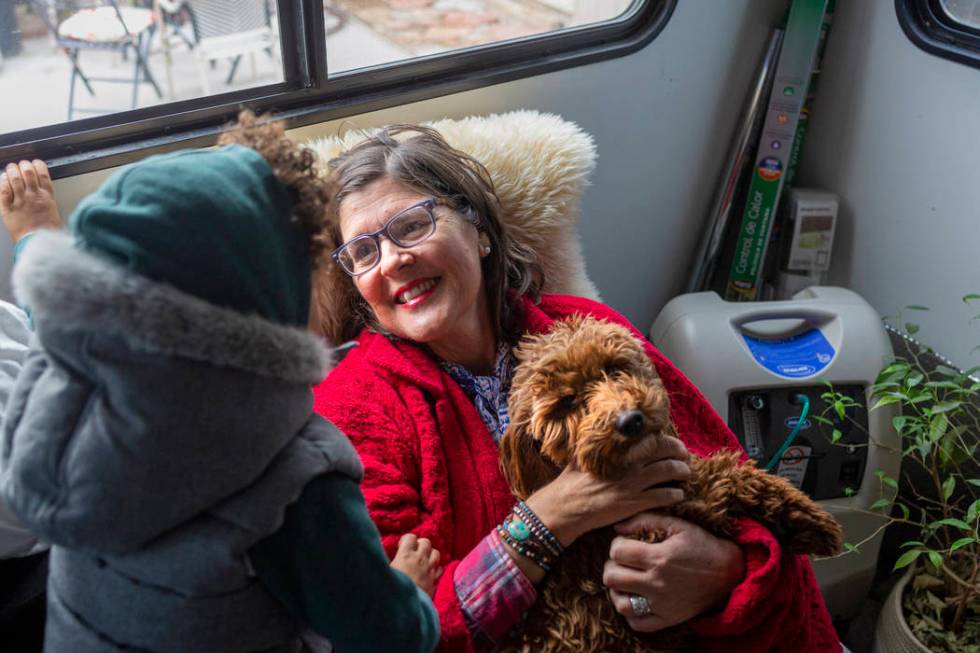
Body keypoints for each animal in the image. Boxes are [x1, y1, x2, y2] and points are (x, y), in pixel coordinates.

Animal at [498, 316, 844, 652]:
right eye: (568, 401)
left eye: (614, 368)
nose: (630, 420)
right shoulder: (650, 525)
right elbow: (717, 482)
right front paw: (802, 519)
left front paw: (805, 519)